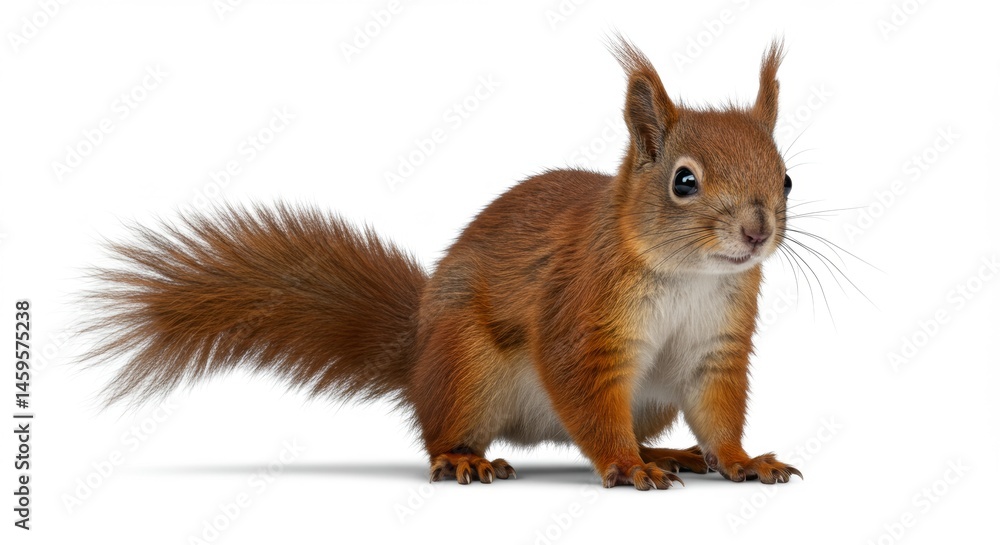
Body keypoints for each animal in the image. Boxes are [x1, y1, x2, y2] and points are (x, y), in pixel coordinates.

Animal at [82, 37, 802, 490]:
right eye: (683, 182)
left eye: (787, 179)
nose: (756, 230)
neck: (692, 276)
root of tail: (418, 354)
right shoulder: (582, 317)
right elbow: (587, 398)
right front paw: (625, 467)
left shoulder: (718, 342)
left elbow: (718, 410)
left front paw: (740, 459)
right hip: (466, 367)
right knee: (444, 434)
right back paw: (467, 460)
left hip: (644, 400)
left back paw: (669, 450)